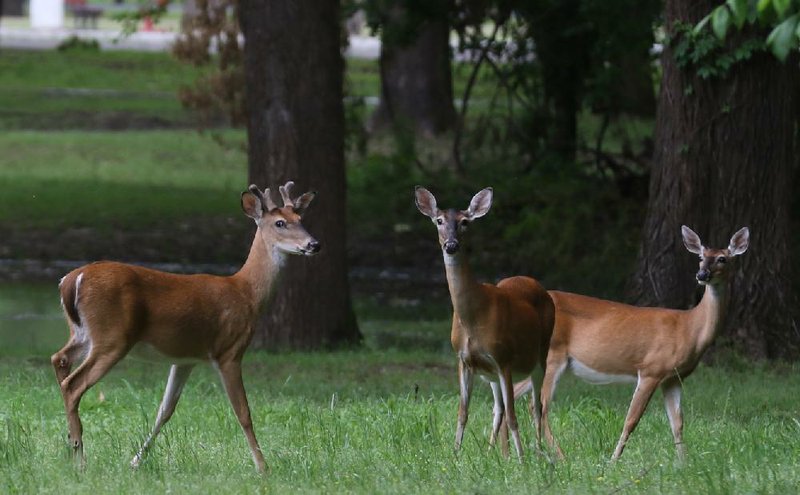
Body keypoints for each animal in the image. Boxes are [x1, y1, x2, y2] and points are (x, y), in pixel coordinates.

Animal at [51, 181, 320, 472]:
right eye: (280, 223)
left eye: (300, 219)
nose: (314, 244)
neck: (246, 293)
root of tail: (71, 279)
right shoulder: (229, 350)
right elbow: (243, 412)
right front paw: (263, 467)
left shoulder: (185, 359)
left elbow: (165, 410)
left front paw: (136, 460)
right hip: (111, 338)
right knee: (73, 384)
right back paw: (79, 457)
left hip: (82, 333)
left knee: (59, 359)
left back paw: (69, 443)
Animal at [412, 186, 556, 462]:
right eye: (439, 221)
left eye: (465, 222)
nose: (451, 245)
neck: (472, 318)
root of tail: (538, 285)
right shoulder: (464, 360)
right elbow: (463, 412)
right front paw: (455, 454)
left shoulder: (504, 358)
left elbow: (513, 416)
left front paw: (522, 461)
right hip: (490, 374)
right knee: (498, 408)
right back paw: (493, 454)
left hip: (540, 356)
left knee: (536, 406)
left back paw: (537, 452)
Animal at [506, 227, 752, 464]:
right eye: (700, 257)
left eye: (722, 258)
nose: (702, 275)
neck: (689, 328)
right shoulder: (651, 369)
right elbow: (631, 419)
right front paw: (613, 461)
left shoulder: (672, 378)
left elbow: (677, 423)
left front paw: (684, 464)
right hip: (553, 356)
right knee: (539, 406)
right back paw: (557, 456)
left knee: (515, 394)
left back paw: (506, 452)